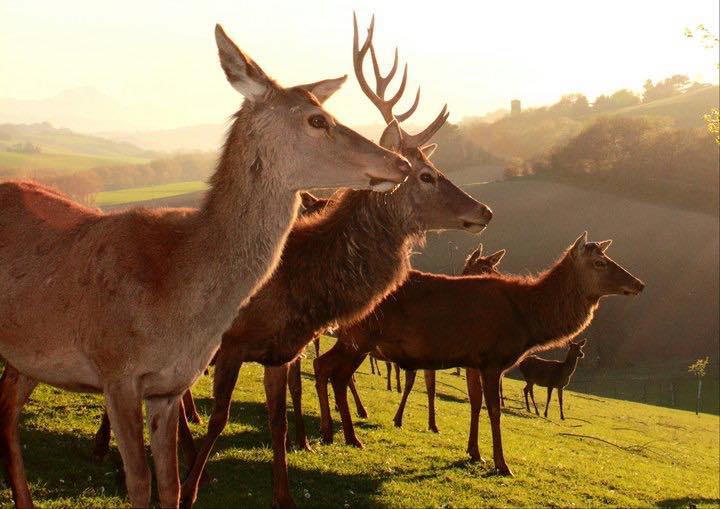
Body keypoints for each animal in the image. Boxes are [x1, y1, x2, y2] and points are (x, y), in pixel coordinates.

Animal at [0, 22, 410, 508]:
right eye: (317, 120)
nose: (401, 163)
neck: (173, 290)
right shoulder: (115, 369)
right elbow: (139, 481)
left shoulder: (169, 386)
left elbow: (170, 484)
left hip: (28, 356)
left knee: (6, 409)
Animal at [93, 15, 492, 508]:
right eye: (427, 176)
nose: (484, 211)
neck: (299, 287)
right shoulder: (233, 343)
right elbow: (219, 419)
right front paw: (191, 487)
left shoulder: (280, 350)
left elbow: (277, 420)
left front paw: (283, 491)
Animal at [316, 232, 648, 474]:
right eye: (599, 262)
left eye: (608, 257)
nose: (639, 283)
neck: (527, 320)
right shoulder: (492, 358)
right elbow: (494, 409)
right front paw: (503, 464)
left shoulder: (473, 360)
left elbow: (474, 403)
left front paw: (474, 453)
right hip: (360, 336)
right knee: (332, 371)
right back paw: (346, 435)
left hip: (354, 339)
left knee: (327, 369)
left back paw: (333, 433)